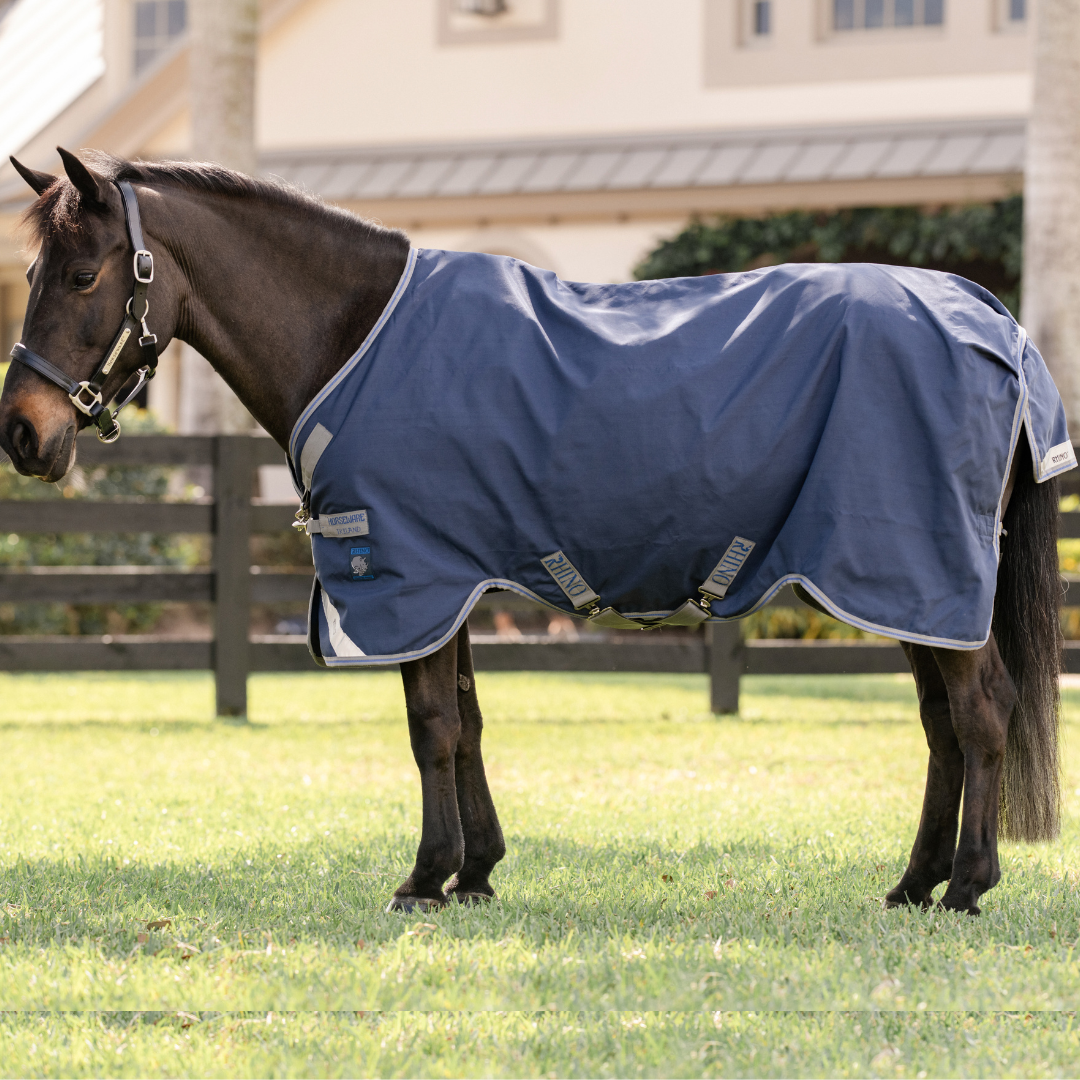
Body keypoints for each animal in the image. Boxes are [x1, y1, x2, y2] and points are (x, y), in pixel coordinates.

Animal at [0, 148, 1066, 917]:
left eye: (85, 274)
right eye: (33, 272)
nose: (22, 433)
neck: (353, 334)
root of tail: (992, 319)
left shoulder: (409, 576)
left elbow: (430, 728)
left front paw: (425, 879)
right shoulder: (454, 582)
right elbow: (467, 722)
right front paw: (477, 872)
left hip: (916, 570)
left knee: (981, 714)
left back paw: (968, 887)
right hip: (905, 588)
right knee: (942, 726)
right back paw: (915, 884)